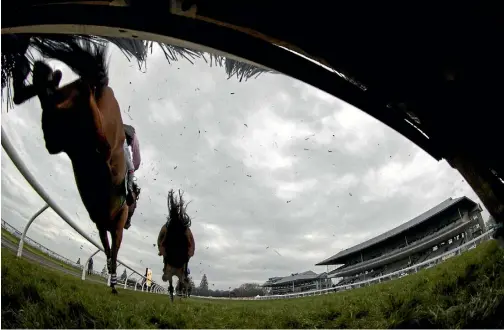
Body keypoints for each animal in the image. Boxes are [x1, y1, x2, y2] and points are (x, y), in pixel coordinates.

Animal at [11, 38, 138, 294]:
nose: (130, 223)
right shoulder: (115, 225)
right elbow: (112, 252)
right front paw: (113, 281)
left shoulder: (102, 224)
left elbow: (108, 249)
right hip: (102, 134)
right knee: (90, 102)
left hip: (57, 133)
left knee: (39, 97)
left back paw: (41, 72)